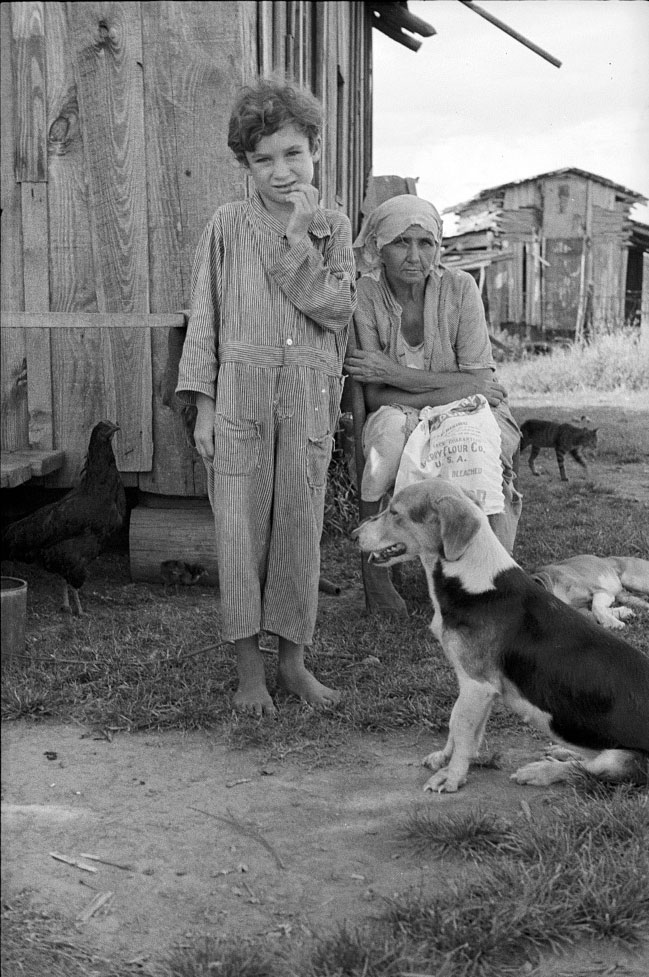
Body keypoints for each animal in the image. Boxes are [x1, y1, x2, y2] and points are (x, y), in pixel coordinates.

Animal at [354, 480, 648, 792]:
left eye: (394, 512)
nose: (354, 535)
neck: (470, 579)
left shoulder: (478, 684)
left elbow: (461, 728)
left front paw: (452, 777)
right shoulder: (473, 684)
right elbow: (458, 726)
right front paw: (445, 759)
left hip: (620, 760)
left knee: (584, 771)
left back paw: (541, 771)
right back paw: (561, 751)